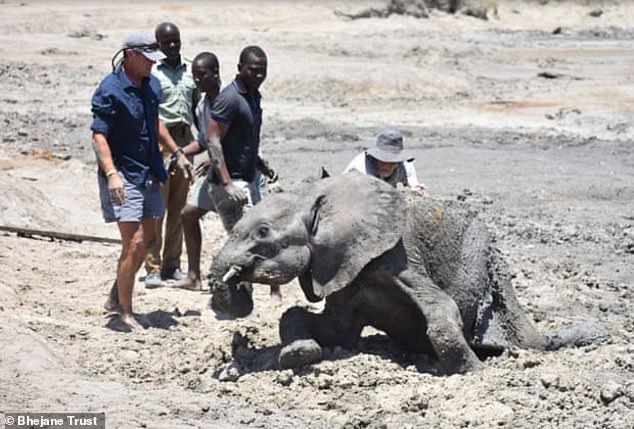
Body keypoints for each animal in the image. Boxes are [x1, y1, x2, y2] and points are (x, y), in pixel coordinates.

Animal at [209, 172, 608, 372]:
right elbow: (328, 328)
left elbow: (442, 312)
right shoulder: (344, 269)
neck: (314, 197)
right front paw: (298, 355)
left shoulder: (396, 255)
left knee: (527, 342)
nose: (235, 281)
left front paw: (476, 375)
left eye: (263, 233)